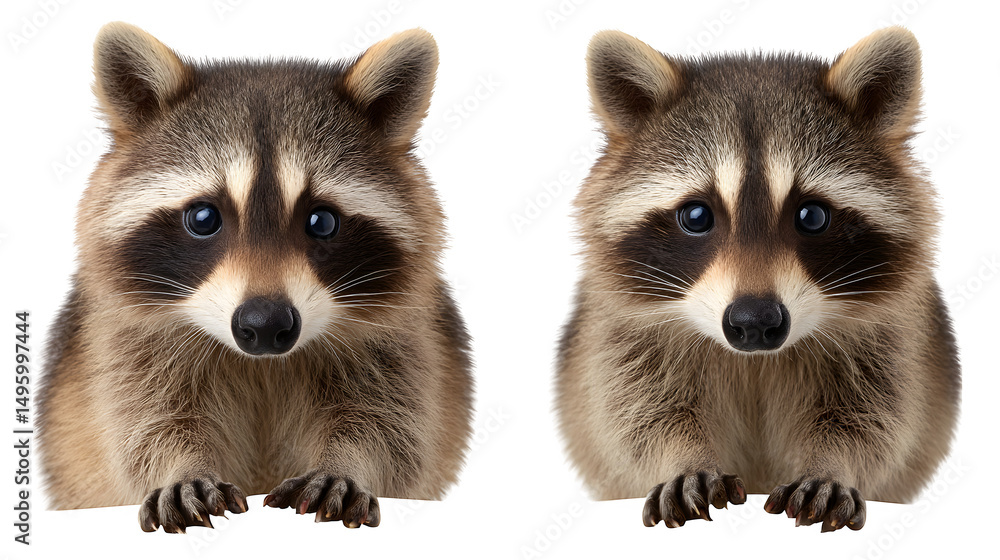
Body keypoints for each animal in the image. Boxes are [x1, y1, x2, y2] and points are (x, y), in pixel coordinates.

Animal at [37, 22, 473, 533]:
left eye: (321, 221)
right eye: (204, 217)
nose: (265, 324)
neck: (262, 364)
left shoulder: (403, 341)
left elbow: (393, 427)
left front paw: (348, 463)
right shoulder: (123, 342)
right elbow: (143, 423)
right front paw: (180, 466)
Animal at [556, 27, 960, 532]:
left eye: (811, 216)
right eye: (696, 216)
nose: (754, 321)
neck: (755, 361)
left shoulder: (893, 335)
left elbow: (878, 418)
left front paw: (833, 464)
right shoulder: (621, 333)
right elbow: (635, 413)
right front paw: (682, 458)